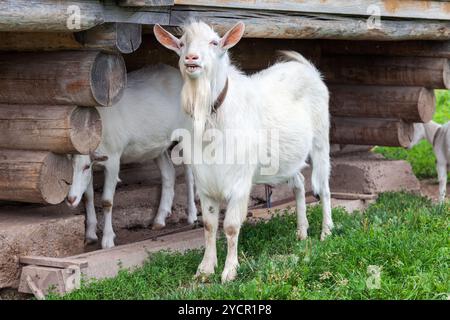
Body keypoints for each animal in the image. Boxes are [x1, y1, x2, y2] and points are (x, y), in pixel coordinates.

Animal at [65, 65, 197, 249]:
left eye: (84, 167)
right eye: (68, 167)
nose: (70, 200)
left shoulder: (113, 160)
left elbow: (107, 201)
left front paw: (108, 240)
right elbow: (88, 196)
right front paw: (90, 235)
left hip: (187, 133)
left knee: (189, 174)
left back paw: (192, 215)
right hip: (157, 145)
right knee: (168, 172)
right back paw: (159, 219)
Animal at [153, 20, 332, 282]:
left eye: (214, 42)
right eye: (182, 43)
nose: (191, 58)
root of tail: (307, 69)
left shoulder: (239, 182)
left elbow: (230, 226)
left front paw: (229, 271)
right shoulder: (205, 182)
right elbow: (209, 225)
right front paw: (205, 269)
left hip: (321, 139)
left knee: (324, 186)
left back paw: (326, 232)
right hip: (286, 158)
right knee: (299, 182)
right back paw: (301, 232)